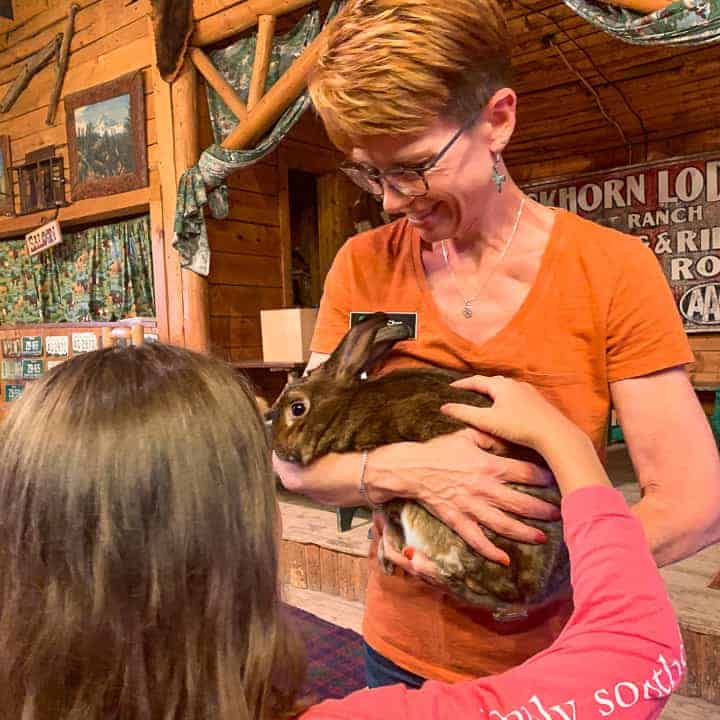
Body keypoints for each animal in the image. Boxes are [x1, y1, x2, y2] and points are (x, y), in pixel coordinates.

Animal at [270, 312, 568, 620]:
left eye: (297, 408)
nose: (277, 447)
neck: (341, 408)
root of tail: (532, 587)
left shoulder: (390, 500)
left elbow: (389, 521)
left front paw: (388, 554)